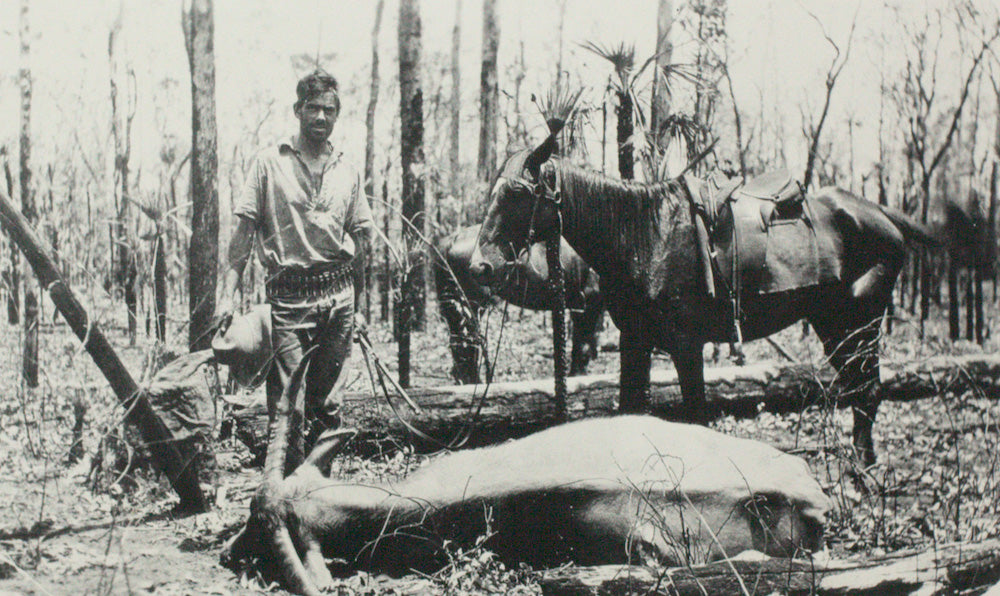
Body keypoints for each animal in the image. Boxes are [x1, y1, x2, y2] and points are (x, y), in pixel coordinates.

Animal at [432, 222, 600, 382]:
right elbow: (582, 344)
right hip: (470, 305)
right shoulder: (589, 302)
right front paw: (578, 374)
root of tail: (451, 240)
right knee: (467, 342)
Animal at [468, 129, 936, 466]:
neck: (642, 235)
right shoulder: (635, 343)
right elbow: (630, 410)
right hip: (833, 326)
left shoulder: (686, 345)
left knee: (868, 390)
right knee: (859, 390)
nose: (479, 266)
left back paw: (863, 473)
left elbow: (695, 415)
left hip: (860, 322)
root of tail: (878, 215)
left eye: (517, 194)